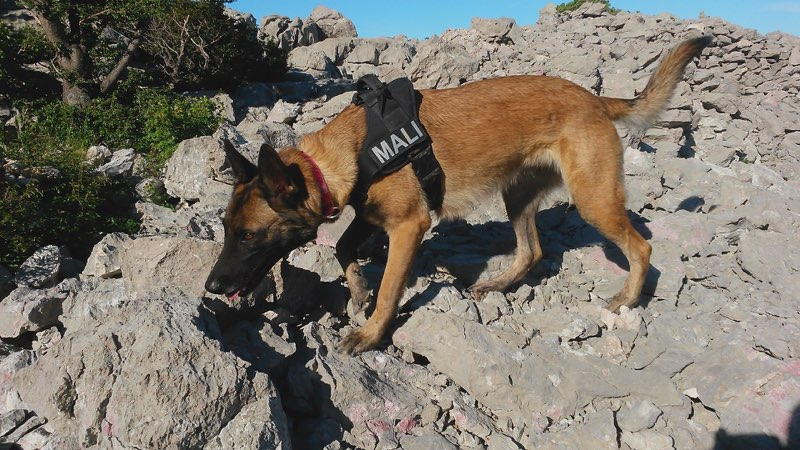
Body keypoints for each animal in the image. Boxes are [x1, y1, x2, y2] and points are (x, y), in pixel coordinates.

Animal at [205, 35, 712, 354]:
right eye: (227, 229)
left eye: (248, 235)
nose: (211, 288)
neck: (344, 154)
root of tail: (594, 98)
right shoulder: (371, 216)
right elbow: (345, 249)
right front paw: (357, 289)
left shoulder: (408, 227)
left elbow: (389, 290)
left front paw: (370, 333)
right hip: (518, 198)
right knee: (532, 251)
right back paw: (497, 284)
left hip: (593, 200)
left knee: (641, 248)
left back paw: (626, 299)